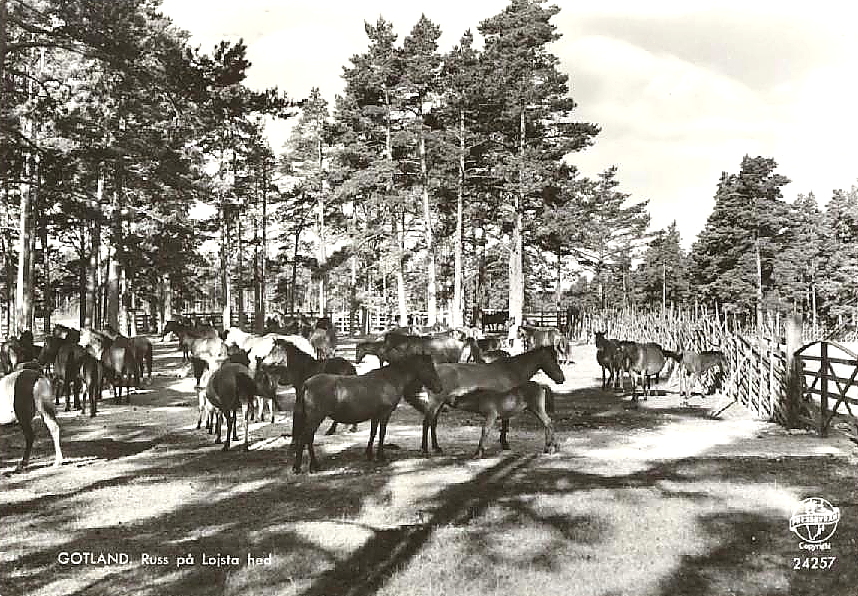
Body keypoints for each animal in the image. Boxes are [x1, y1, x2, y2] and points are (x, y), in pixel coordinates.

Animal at [292, 354, 442, 474]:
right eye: (429, 368)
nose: (439, 388)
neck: (389, 380)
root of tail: (307, 384)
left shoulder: (375, 415)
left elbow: (373, 433)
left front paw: (369, 454)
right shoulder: (385, 414)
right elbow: (382, 434)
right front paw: (381, 456)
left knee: (307, 439)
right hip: (315, 419)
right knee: (306, 439)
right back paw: (304, 467)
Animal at [406, 342, 560, 454]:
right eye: (553, 359)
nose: (561, 379)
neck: (510, 370)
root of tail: (436, 371)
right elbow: (505, 423)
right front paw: (504, 444)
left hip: (440, 403)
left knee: (433, 423)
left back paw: (437, 447)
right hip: (436, 403)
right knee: (427, 422)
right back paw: (425, 450)